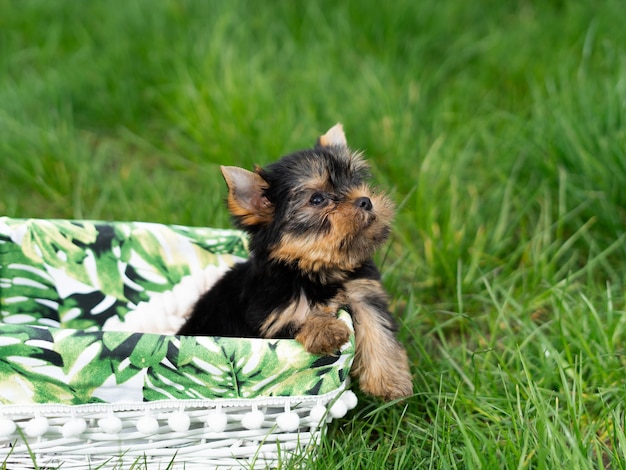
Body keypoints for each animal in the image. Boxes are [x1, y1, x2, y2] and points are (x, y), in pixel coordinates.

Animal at [177, 123, 410, 398]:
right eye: (317, 199)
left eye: (355, 181)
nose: (365, 200)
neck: (315, 268)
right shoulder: (274, 318)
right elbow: (300, 317)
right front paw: (326, 330)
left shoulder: (362, 292)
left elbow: (377, 328)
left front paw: (388, 381)